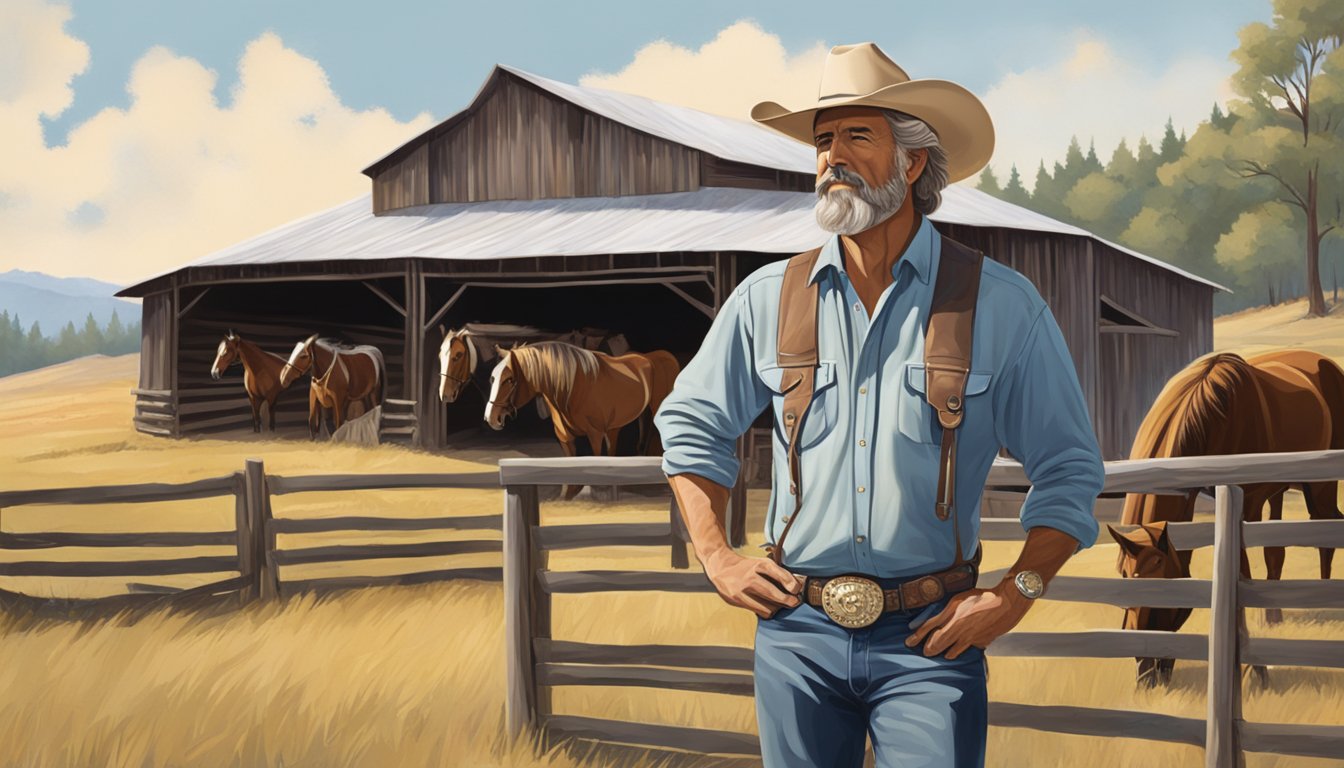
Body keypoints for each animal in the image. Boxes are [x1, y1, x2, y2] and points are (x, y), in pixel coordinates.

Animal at [478, 341, 677, 497]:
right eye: (493, 378)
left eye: (510, 380)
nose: (490, 417)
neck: (572, 388)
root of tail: (655, 357)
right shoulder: (565, 439)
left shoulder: (595, 435)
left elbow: (596, 463)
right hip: (630, 421)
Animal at [1112, 352, 1344, 688]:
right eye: (1123, 581)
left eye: (1164, 594)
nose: (1146, 677)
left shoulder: (1246, 505)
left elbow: (1242, 575)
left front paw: (1253, 672)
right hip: (1280, 489)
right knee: (1277, 553)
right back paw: (1274, 618)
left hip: (1319, 485)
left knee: (1325, 532)